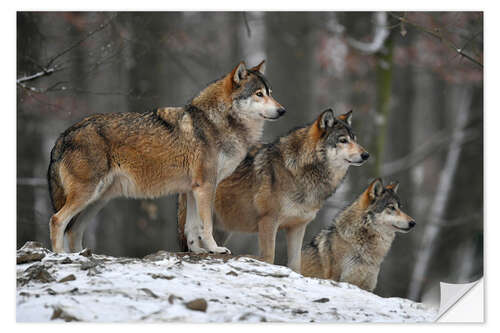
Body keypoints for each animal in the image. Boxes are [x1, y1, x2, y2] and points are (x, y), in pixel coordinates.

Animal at [47, 60, 286, 252]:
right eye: (259, 94)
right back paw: (61, 256)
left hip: (98, 200)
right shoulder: (206, 186)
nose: (282, 111)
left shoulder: (192, 189)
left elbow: (191, 228)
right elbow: (205, 225)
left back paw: (80, 255)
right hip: (87, 195)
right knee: (57, 220)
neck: (216, 122)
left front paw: (197, 252)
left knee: (73, 230)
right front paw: (215, 249)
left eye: (271, 92)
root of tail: (62, 136)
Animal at [178, 107, 370, 272]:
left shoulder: (298, 226)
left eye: (355, 139)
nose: (366, 155)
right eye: (343, 140)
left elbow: (295, 265)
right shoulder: (268, 220)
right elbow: (269, 257)